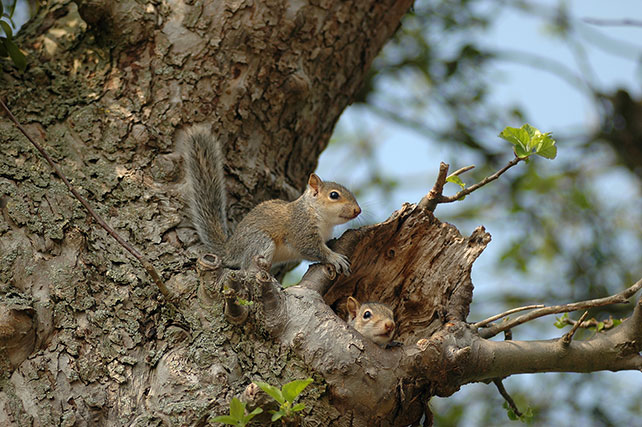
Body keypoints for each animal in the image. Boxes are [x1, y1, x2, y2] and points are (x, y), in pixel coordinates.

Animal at [182, 127, 360, 274]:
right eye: (334, 195)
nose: (358, 210)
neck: (320, 217)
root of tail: (229, 249)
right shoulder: (301, 228)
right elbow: (311, 248)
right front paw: (334, 258)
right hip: (260, 241)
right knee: (246, 267)